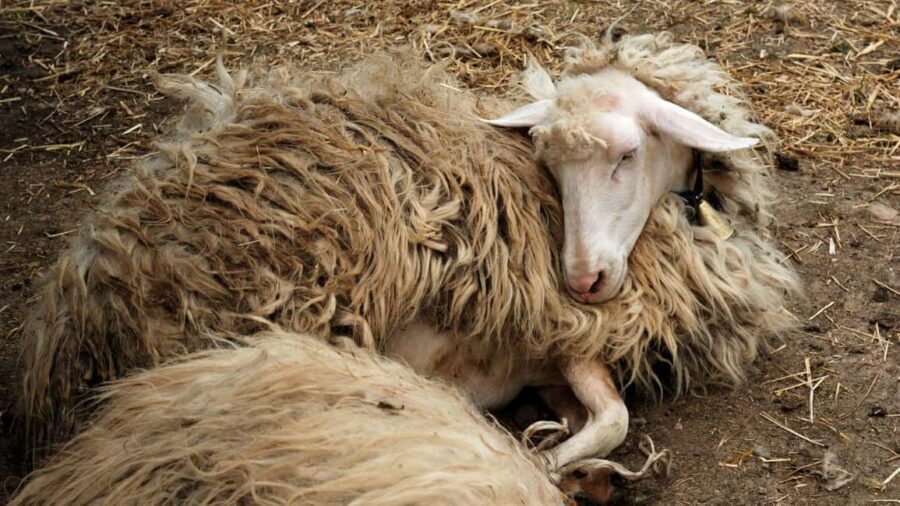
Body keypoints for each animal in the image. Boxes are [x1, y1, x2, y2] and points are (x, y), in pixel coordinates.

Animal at [17, 33, 799, 472]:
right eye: (548, 162)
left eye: (629, 153)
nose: (581, 278)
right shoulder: (565, 332)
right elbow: (614, 420)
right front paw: (549, 458)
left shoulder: (552, 355)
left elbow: (599, 417)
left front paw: (554, 442)